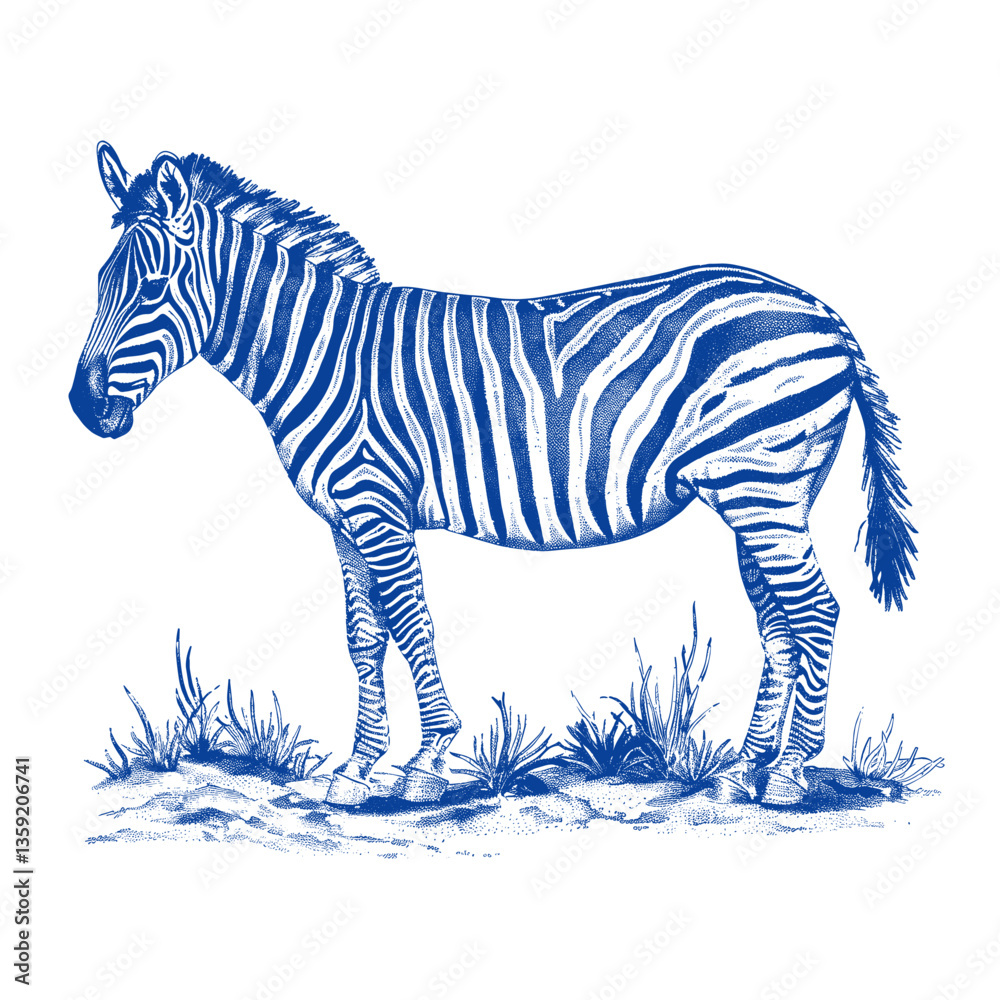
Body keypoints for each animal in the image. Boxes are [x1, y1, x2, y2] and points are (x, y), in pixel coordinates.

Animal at [70, 142, 916, 807]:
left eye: (150, 289)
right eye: (102, 282)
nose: (83, 407)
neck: (321, 354)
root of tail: (819, 309)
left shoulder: (377, 505)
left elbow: (411, 623)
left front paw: (425, 762)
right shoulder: (341, 520)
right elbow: (363, 639)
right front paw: (355, 770)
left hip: (759, 487)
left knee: (817, 612)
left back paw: (791, 775)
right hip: (761, 495)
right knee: (780, 624)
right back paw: (744, 771)